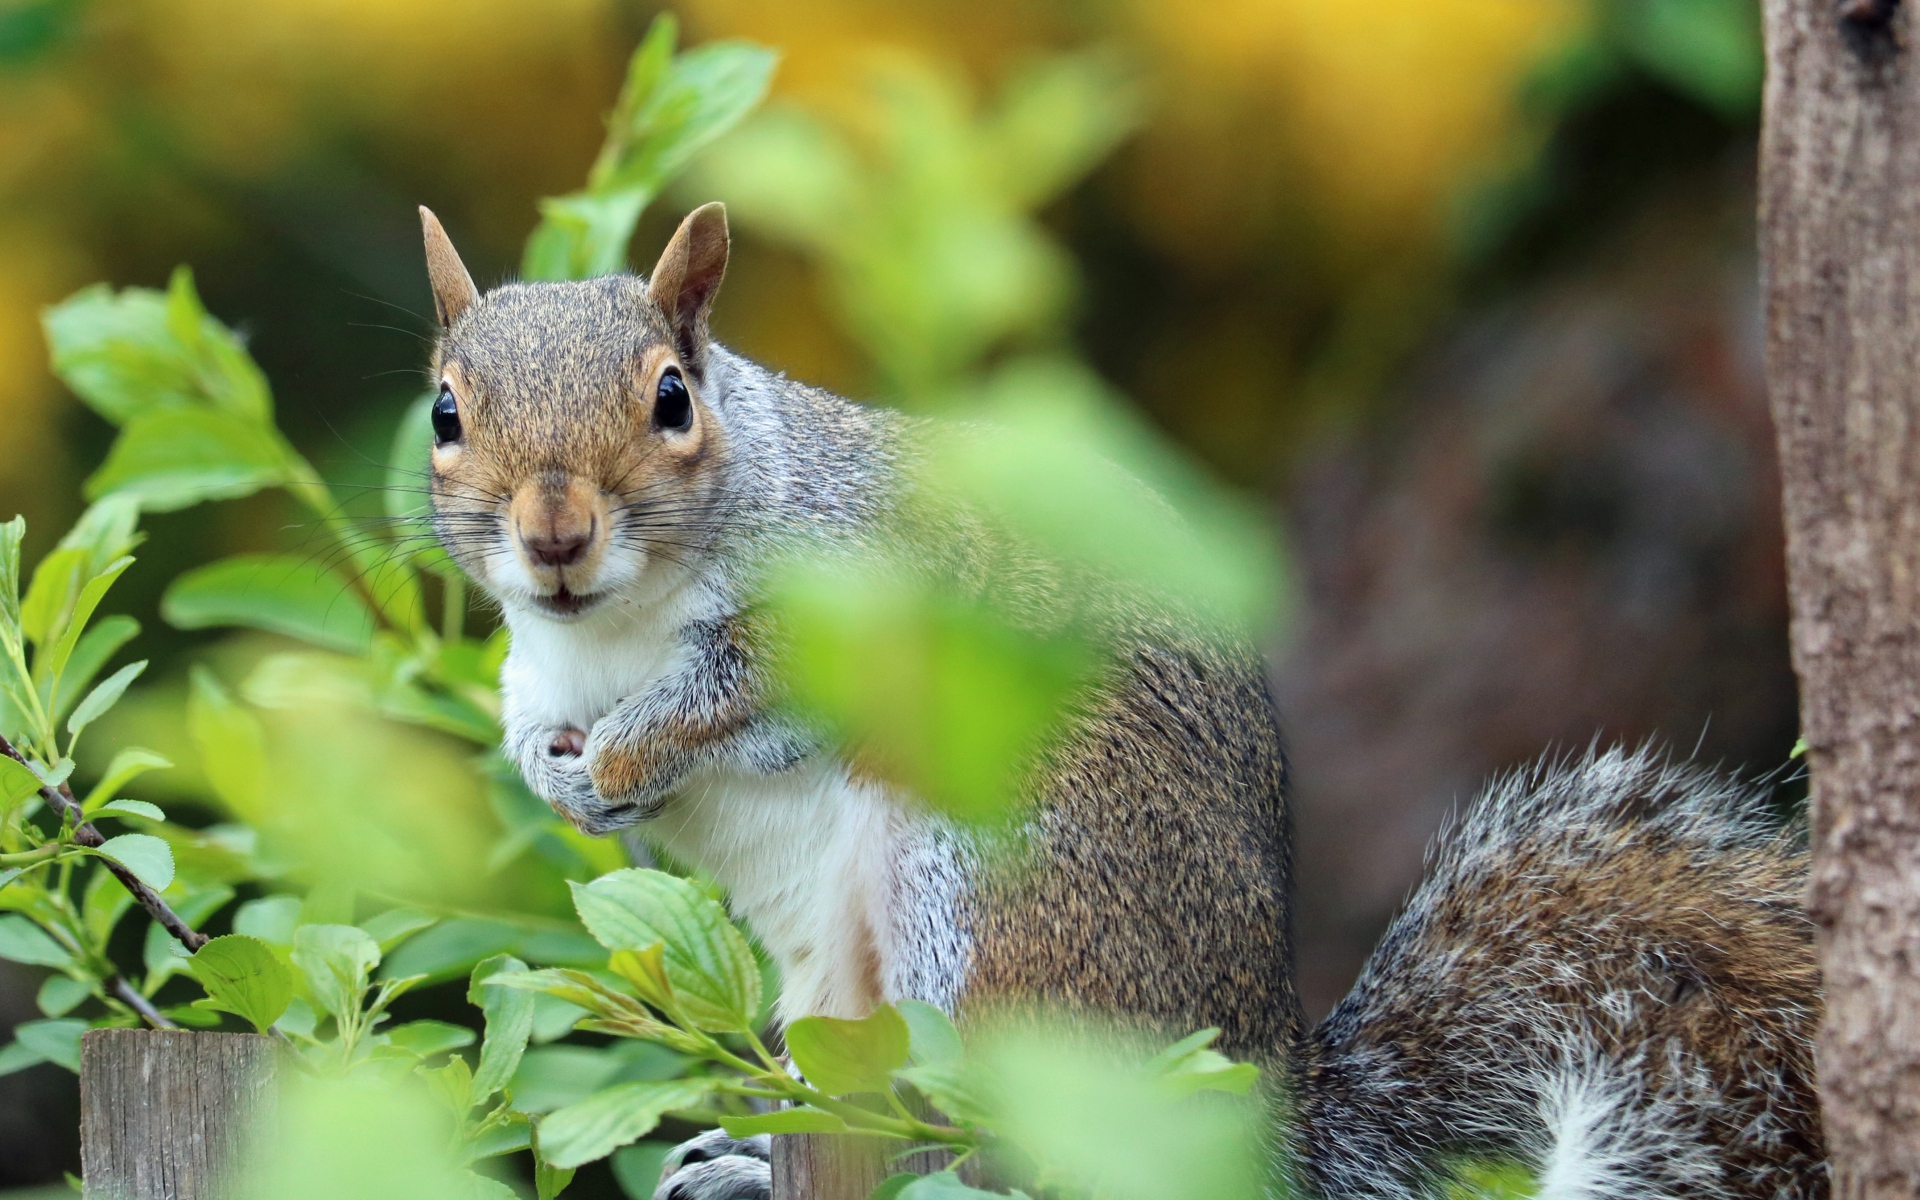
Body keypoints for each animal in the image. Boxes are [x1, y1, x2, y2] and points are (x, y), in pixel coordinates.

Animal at [418, 203, 1826, 1200]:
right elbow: (527, 718)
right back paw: (759, 1167)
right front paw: (557, 772)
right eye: (443, 410)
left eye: (672, 398)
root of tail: (1260, 1112)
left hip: (987, 896)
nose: (553, 536)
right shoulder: (538, 668)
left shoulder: (856, 605)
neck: (605, 634)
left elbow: (735, 696)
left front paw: (621, 762)